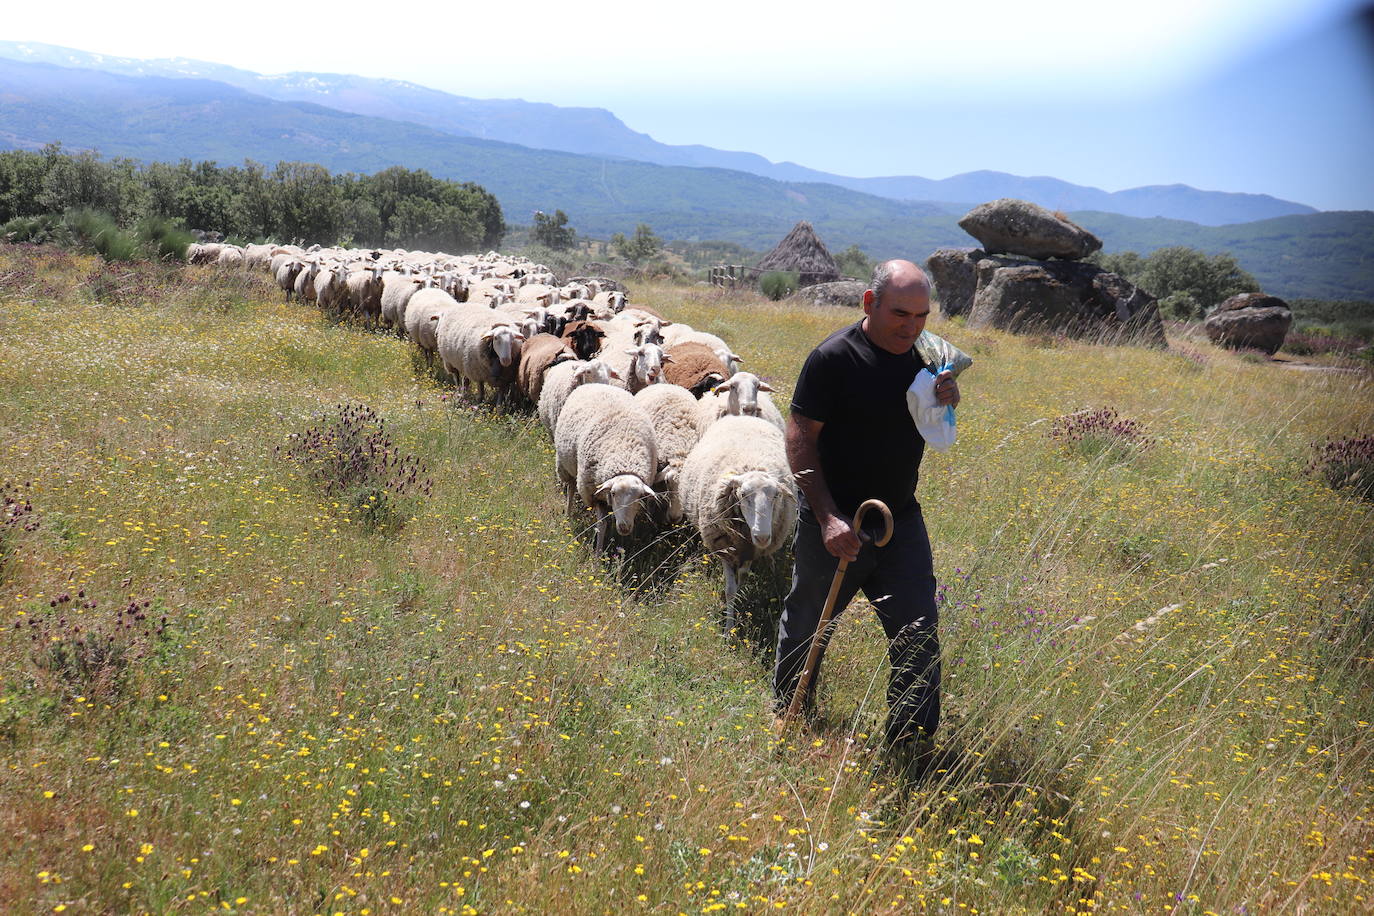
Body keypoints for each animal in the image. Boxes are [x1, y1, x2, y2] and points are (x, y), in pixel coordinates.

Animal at [557, 384, 665, 552]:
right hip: (566, 466)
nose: (624, 527)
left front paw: (622, 546)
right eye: (613, 493)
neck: (625, 456)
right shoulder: (594, 494)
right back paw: (567, 515)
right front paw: (597, 554)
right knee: (571, 488)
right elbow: (602, 525)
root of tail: (597, 384)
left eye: (639, 496)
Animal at [681, 414, 802, 631]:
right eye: (743, 494)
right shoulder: (724, 548)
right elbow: (730, 590)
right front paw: (729, 628)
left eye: (776, 495)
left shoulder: (750, 551)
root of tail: (743, 415)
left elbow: (743, 576)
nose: (762, 536)